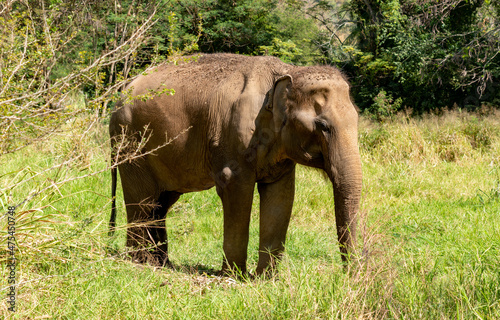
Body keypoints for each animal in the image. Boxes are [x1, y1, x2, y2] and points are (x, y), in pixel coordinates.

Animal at [109, 53, 362, 276]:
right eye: (322, 125)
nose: (347, 276)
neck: (288, 72)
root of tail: (122, 91)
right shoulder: (233, 140)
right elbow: (235, 188)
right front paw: (235, 275)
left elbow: (281, 196)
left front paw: (266, 279)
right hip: (130, 144)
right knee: (143, 200)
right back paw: (140, 262)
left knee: (161, 203)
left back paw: (162, 263)